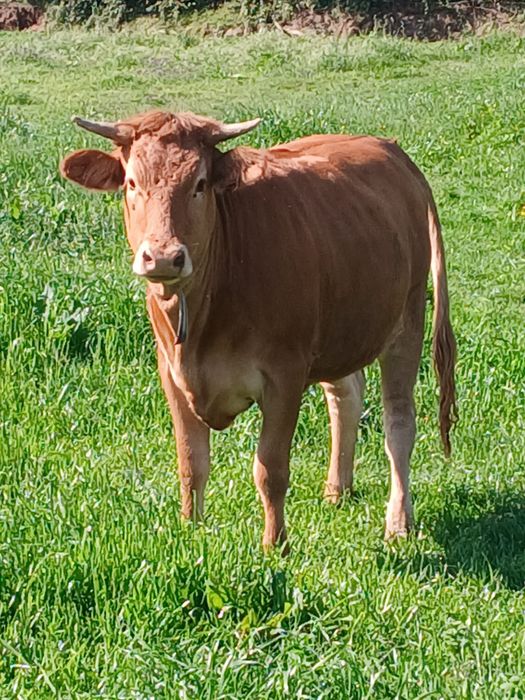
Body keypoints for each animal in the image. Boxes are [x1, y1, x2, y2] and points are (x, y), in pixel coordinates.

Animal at [60, 110, 457, 550]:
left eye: (199, 183)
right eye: (131, 182)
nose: (162, 257)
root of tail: (388, 148)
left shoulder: (285, 375)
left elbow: (270, 469)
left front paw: (275, 545)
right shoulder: (171, 373)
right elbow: (191, 462)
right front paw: (190, 529)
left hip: (407, 320)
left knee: (399, 421)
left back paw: (398, 522)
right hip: (338, 326)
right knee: (346, 395)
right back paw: (337, 489)